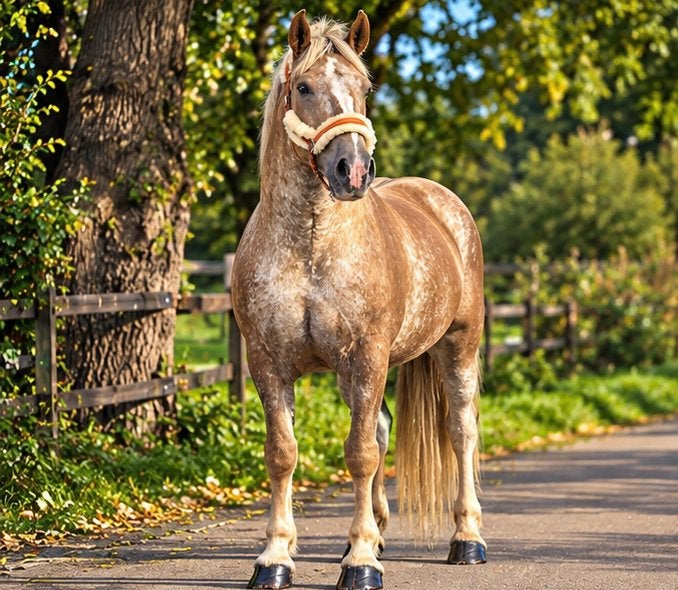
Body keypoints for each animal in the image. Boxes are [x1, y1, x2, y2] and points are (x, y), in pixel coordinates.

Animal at [232, 9, 486, 590]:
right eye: (303, 87)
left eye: (365, 88)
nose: (353, 170)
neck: (310, 245)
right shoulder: (267, 363)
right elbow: (283, 455)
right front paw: (276, 556)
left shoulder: (368, 356)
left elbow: (360, 453)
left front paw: (362, 562)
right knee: (384, 428)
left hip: (459, 346)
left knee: (460, 432)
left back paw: (467, 539)